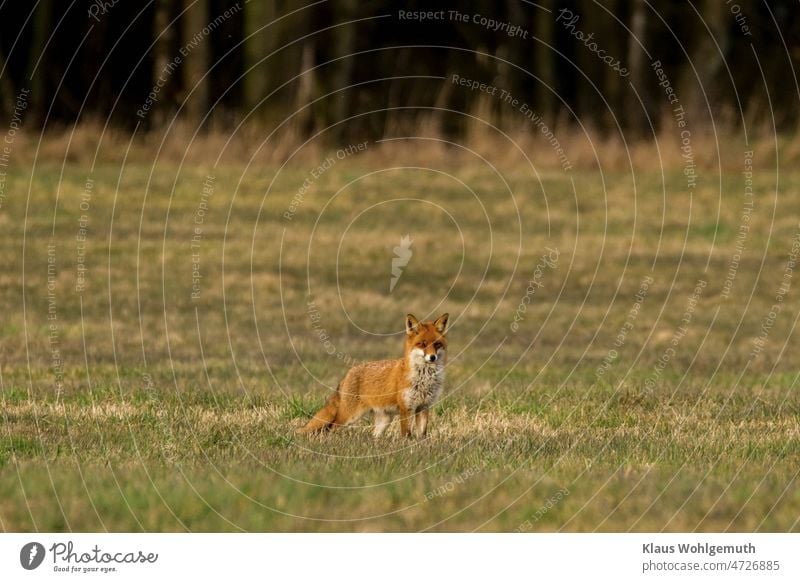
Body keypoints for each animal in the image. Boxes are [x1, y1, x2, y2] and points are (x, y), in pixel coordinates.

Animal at [300, 314, 450, 438]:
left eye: (437, 344)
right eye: (423, 344)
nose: (432, 357)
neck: (424, 378)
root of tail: (349, 373)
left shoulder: (423, 407)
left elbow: (422, 436)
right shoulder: (406, 408)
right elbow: (406, 434)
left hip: (384, 420)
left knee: (374, 436)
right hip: (349, 416)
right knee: (331, 428)